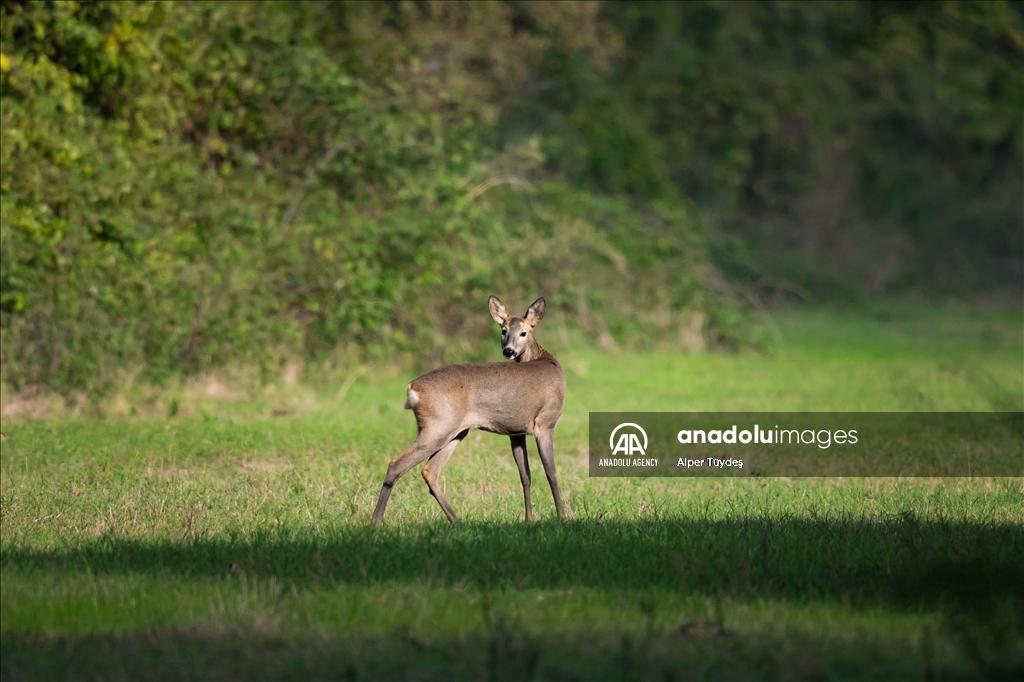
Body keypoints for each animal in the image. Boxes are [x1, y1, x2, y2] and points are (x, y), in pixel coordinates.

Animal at [372, 294, 569, 522]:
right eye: (503, 330)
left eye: (523, 332)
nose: (508, 351)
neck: (544, 358)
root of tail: (412, 388)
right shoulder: (546, 423)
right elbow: (551, 472)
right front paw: (563, 518)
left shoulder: (516, 431)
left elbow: (525, 475)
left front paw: (529, 520)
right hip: (438, 426)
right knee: (396, 464)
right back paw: (376, 521)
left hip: (454, 431)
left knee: (430, 471)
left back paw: (456, 520)